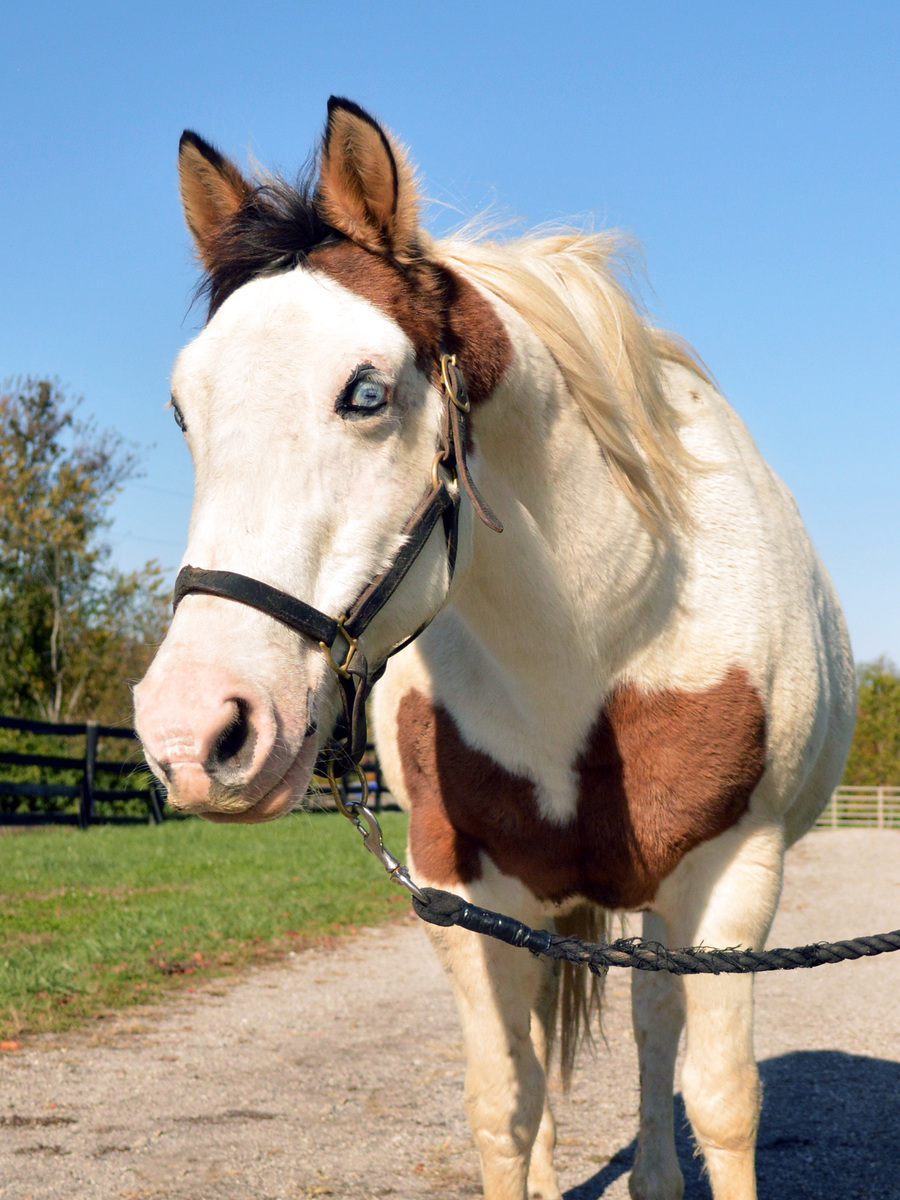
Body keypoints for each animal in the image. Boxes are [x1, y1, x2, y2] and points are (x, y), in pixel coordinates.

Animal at [134, 97, 856, 1200]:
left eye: (367, 392)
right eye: (184, 407)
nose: (195, 731)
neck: (597, 643)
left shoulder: (735, 875)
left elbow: (723, 1103)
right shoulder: (460, 896)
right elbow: (503, 1103)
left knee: (653, 1027)